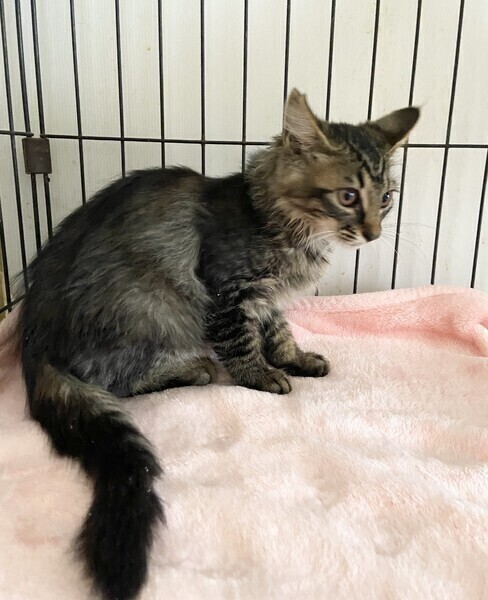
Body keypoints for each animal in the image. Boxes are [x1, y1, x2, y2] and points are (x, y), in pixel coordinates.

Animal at [16, 89, 419, 600]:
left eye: (385, 198)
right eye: (348, 196)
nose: (373, 233)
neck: (282, 222)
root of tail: (33, 341)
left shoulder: (264, 298)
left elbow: (277, 328)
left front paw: (294, 357)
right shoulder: (227, 290)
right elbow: (240, 340)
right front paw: (260, 375)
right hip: (155, 307)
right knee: (115, 379)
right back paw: (191, 369)